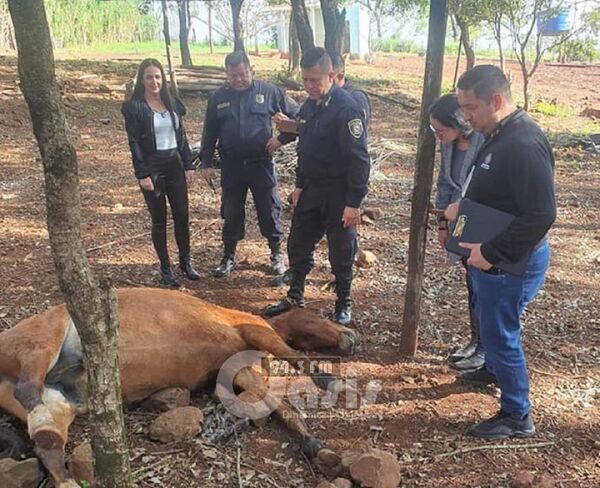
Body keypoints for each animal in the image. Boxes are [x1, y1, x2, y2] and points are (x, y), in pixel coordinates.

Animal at [0, 288, 358, 486]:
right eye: (318, 317)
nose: (351, 337)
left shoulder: (240, 373)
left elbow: (280, 406)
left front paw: (316, 447)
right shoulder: (256, 332)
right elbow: (295, 358)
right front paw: (330, 381)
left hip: (60, 406)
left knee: (47, 446)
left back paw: (68, 479)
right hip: (42, 342)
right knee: (28, 387)